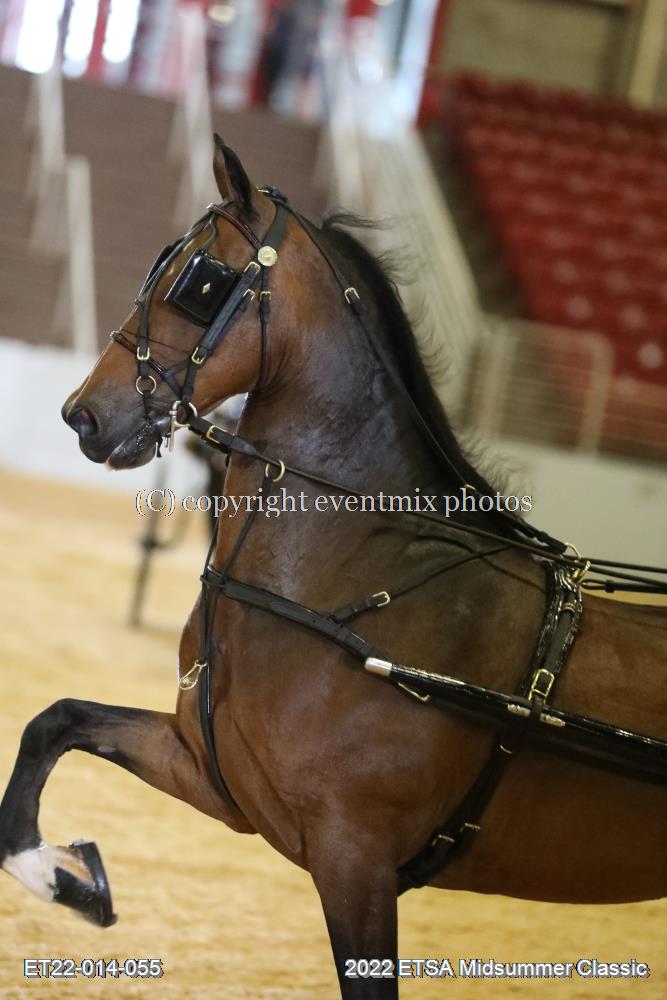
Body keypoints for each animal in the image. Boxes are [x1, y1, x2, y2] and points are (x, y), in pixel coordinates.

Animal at [1, 137, 665, 998]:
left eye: (199, 280)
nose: (82, 414)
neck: (352, 590)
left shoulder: (354, 861)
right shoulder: (212, 775)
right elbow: (58, 720)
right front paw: (61, 874)